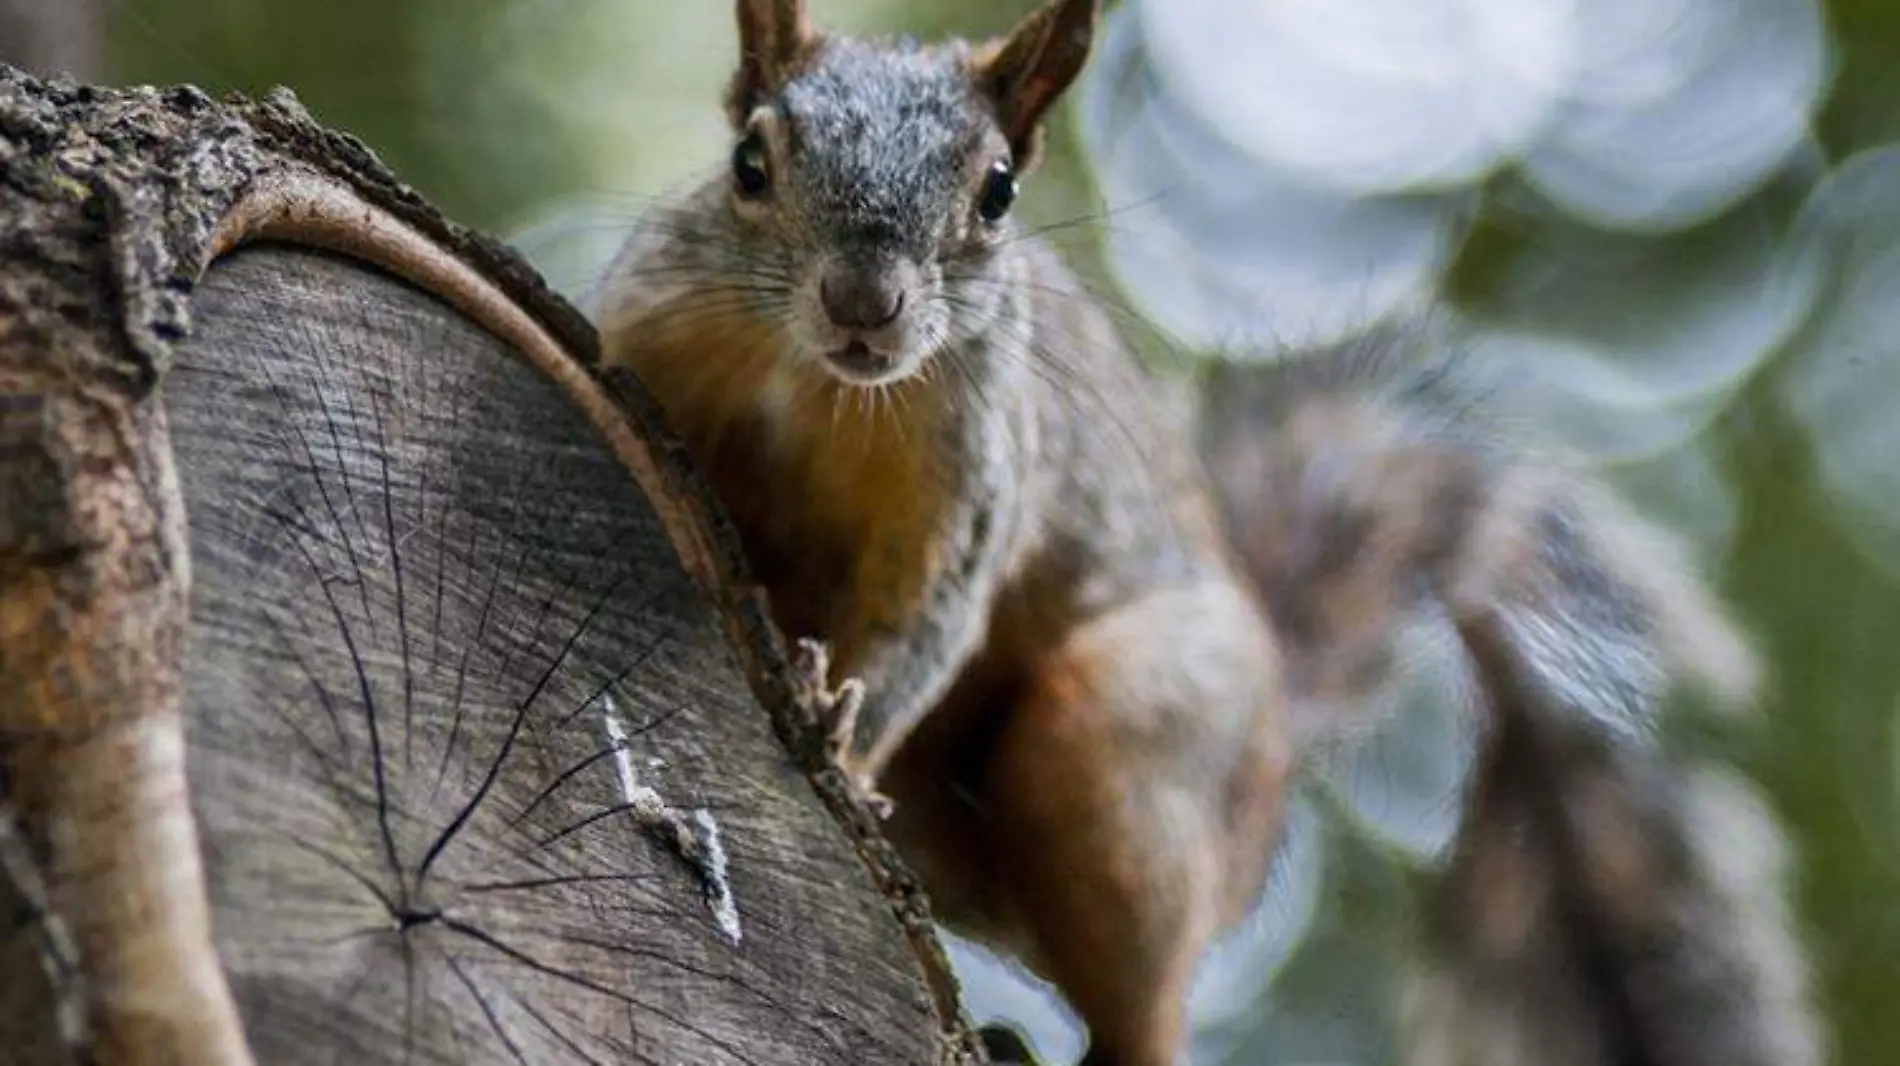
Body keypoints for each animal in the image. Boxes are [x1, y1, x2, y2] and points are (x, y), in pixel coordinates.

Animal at [600, 4, 1816, 1056]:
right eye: (748, 163)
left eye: (998, 190)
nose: (863, 306)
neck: (809, 383)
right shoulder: (646, 337)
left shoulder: (971, 484)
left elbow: (923, 622)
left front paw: (836, 731)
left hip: (1135, 746)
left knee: (1144, 1006)